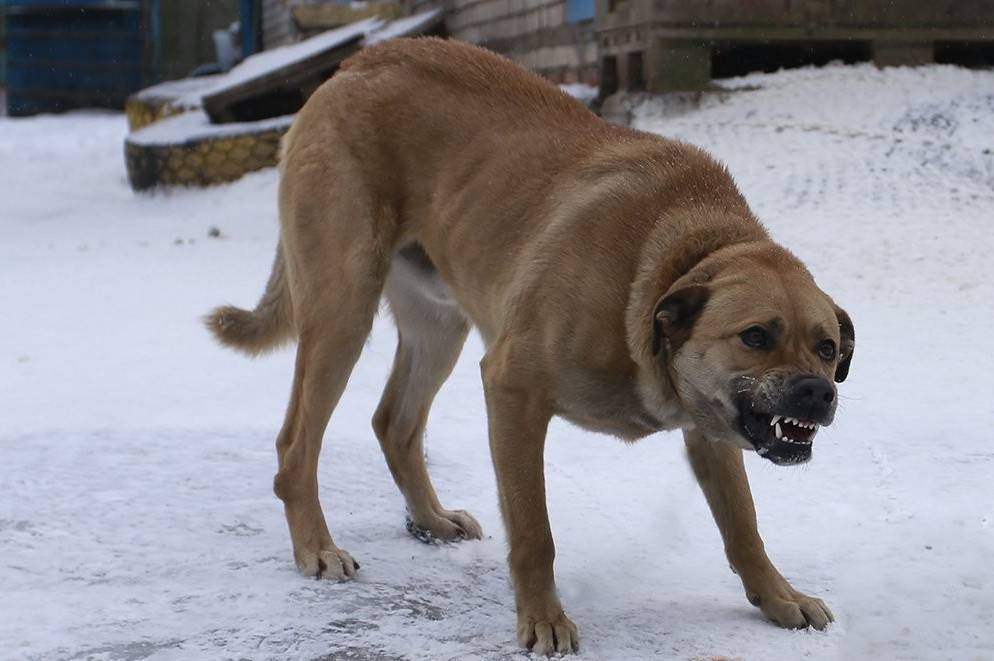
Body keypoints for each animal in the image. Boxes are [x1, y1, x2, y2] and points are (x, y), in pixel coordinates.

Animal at [203, 37, 852, 656]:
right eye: (756, 336)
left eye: (826, 347)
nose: (817, 393)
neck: (671, 262)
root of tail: (355, 63)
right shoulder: (513, 389)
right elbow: (535, 532)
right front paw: (543, 620)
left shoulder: (710, 429)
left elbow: (745, 528)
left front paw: (779, 597)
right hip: (344, 307)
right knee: (296, 445)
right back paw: (316, 547)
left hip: (439, 326)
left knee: (394, 424)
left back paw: (430, 520)